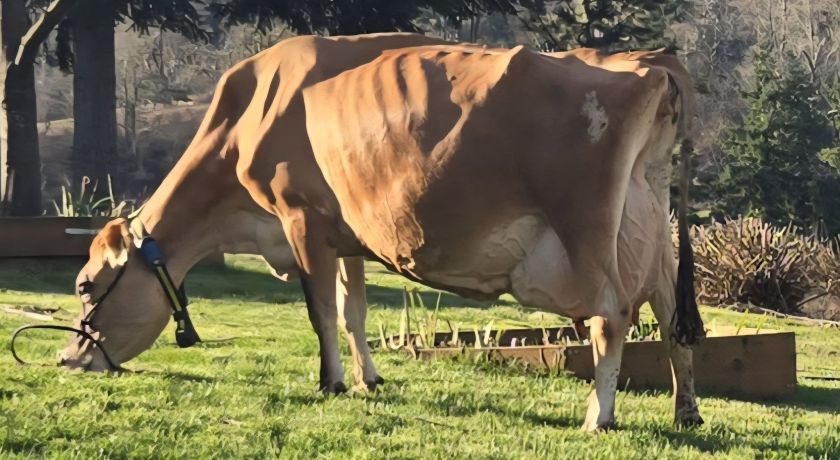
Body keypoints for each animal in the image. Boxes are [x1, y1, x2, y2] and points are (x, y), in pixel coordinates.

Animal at [59, 34, 705, 431]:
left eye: (86, 286)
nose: (69, 357)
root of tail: (653, 62)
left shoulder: (301, 218)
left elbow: (321, 312)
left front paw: (331, 383)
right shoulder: (345, 235)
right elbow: (354, 311)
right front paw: (369, 380)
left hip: (583, 232)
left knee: (611, 316)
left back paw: (599, 417)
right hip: (651, 225)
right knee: (671, 317)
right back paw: (686, 411)